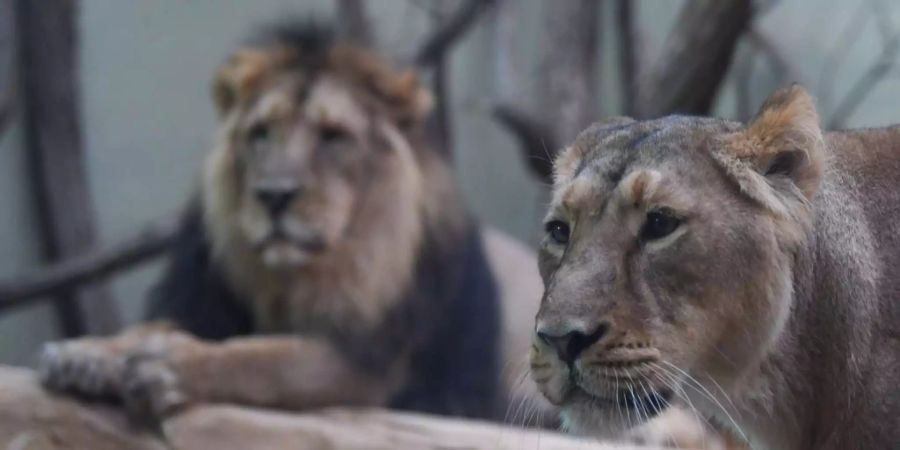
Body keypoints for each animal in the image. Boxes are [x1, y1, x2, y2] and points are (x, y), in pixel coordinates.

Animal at [37, 20, 528, 422]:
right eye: (260, 133)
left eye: (333, 137)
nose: (274, 195)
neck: (292, 279)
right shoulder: (205, 305)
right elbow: (154, 327)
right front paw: (87, 352)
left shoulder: (375, 361)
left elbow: (269, 359)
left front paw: (170, 366)